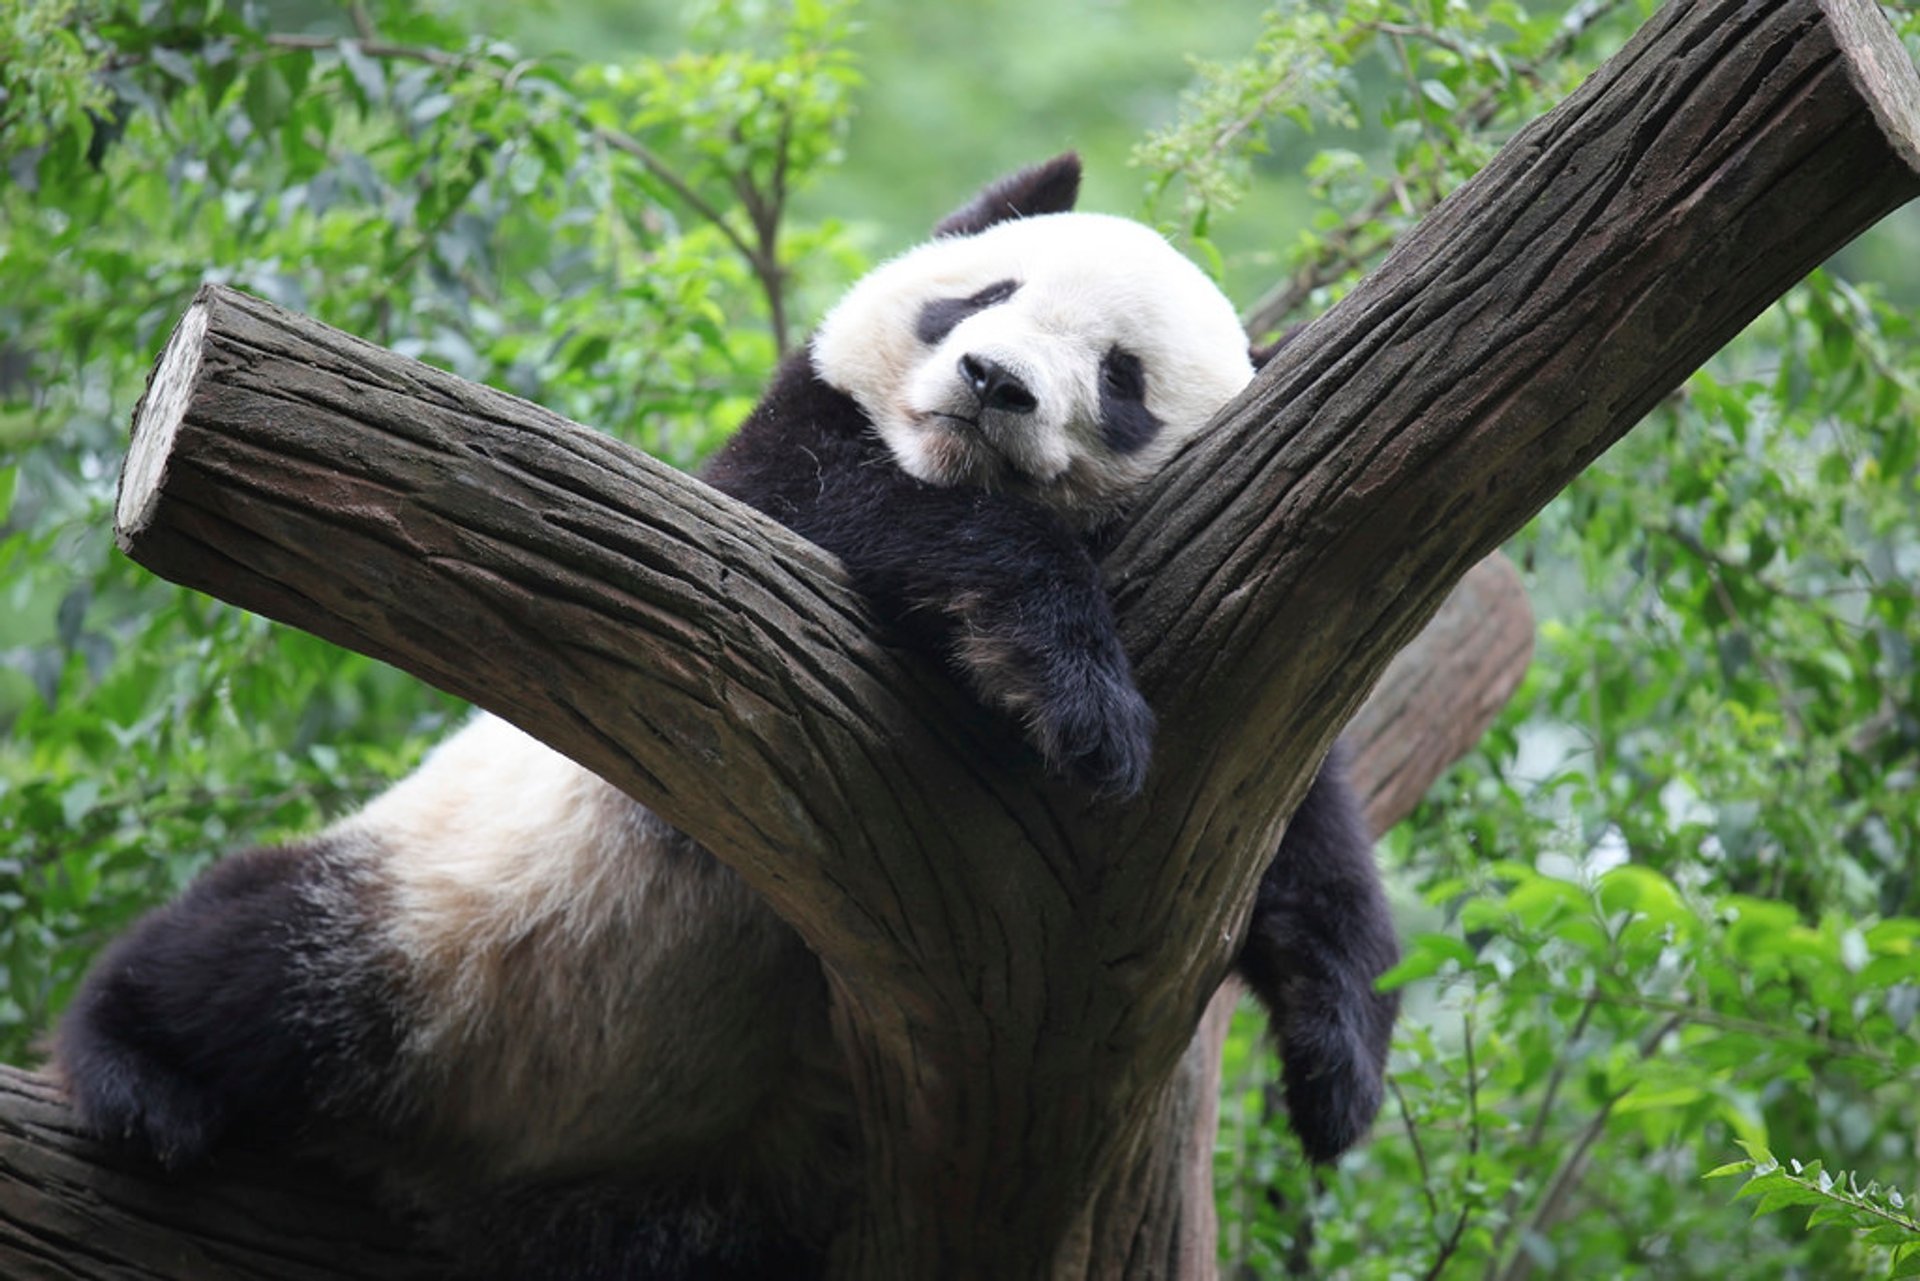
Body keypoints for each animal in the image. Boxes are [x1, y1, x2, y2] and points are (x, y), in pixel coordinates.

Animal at [48, 157, 1397, 1281]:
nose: (993, 383)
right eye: (980, 295)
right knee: (262, 957)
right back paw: (140, 1074)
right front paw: (1074, 692)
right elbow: (856, 509)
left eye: (1122, 379)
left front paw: (1337, 1066)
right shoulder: (753, 508)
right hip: (444, 917)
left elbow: (1295, 826)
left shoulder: (1230, 676)